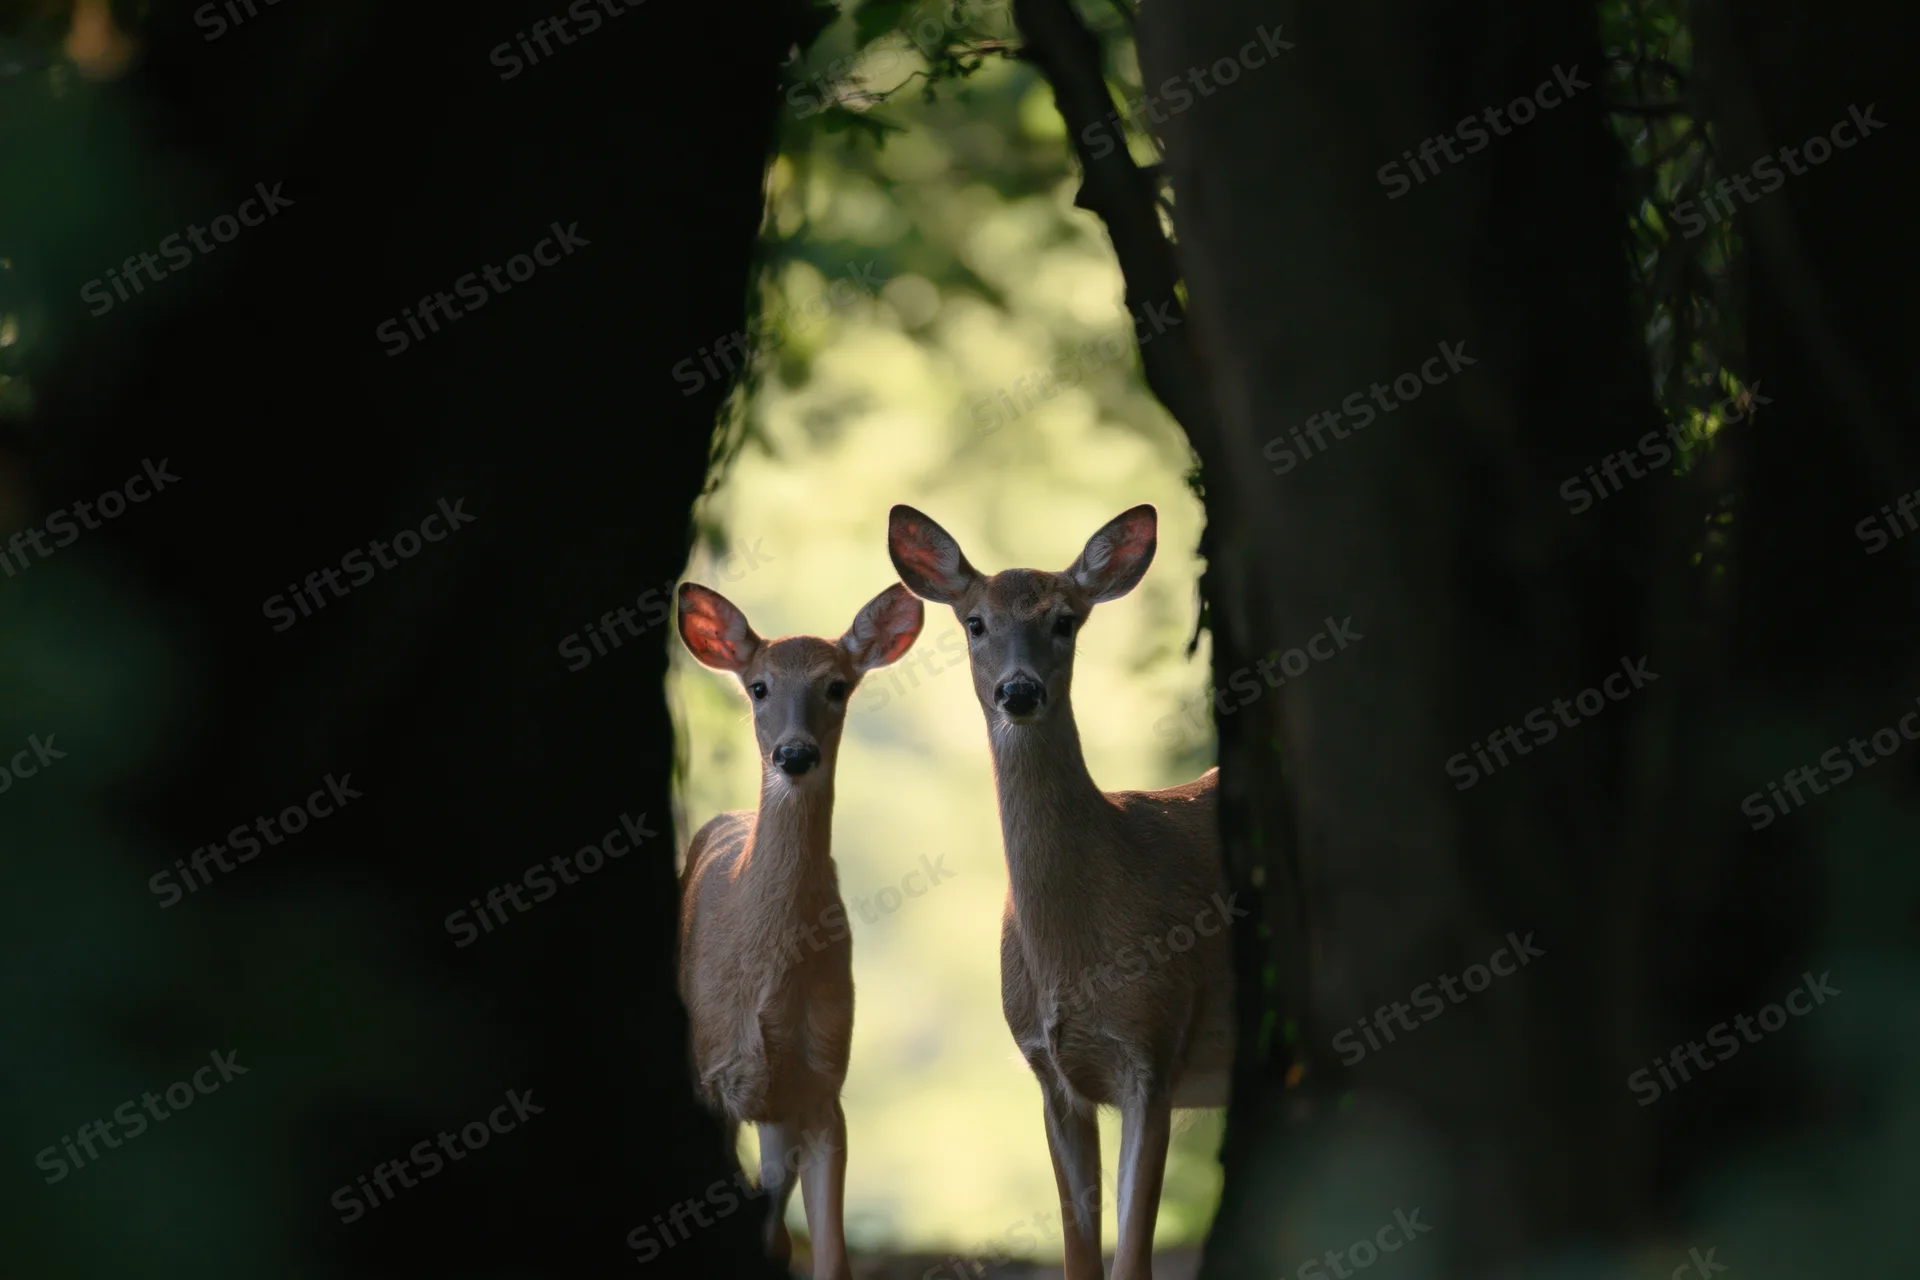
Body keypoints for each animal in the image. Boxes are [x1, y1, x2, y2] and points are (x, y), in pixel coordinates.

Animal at [674, 578, 925, 1280]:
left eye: (837, 685)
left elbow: (831, 1256)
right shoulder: (710, 1075)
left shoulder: (823, 1085)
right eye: (759, 686)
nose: (794, 754)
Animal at [887, 503, 1235, 1280]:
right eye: (975, 622)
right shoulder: (1051, 1074)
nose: (1019, 691)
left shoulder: (1153, 1047)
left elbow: (1131, 1259)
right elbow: (1080, 1256)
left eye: (1065, 620)